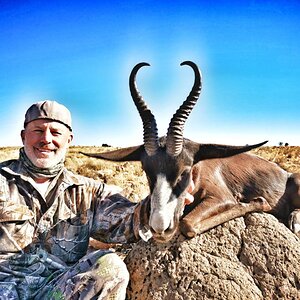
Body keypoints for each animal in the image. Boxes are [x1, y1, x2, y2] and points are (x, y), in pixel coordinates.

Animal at [83, 62, 300, 243]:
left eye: (184, 171)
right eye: (147, 171)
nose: (160, 228)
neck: (198, 171)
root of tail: (286, 174)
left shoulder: (221, 197)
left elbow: (187, 225)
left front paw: (258, 201)